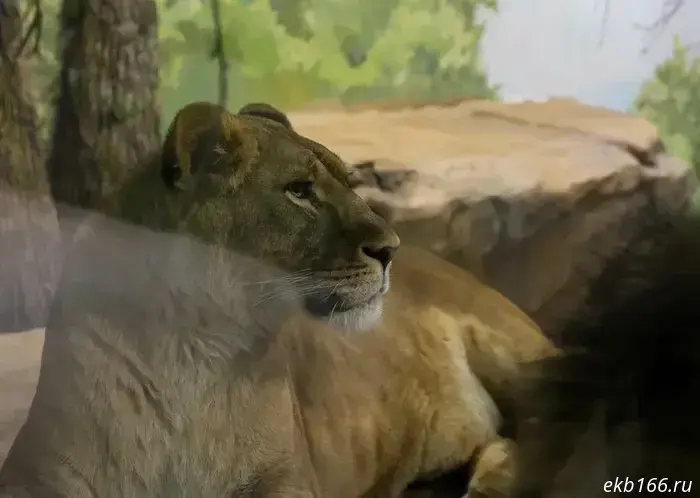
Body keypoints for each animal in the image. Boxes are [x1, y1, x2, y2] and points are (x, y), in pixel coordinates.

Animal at [0, 101, 555, 497]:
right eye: (299, 191)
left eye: (350, 183)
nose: (390, 248)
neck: (193, 351)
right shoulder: (40, 471)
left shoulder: (287, 475)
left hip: (513, 353)